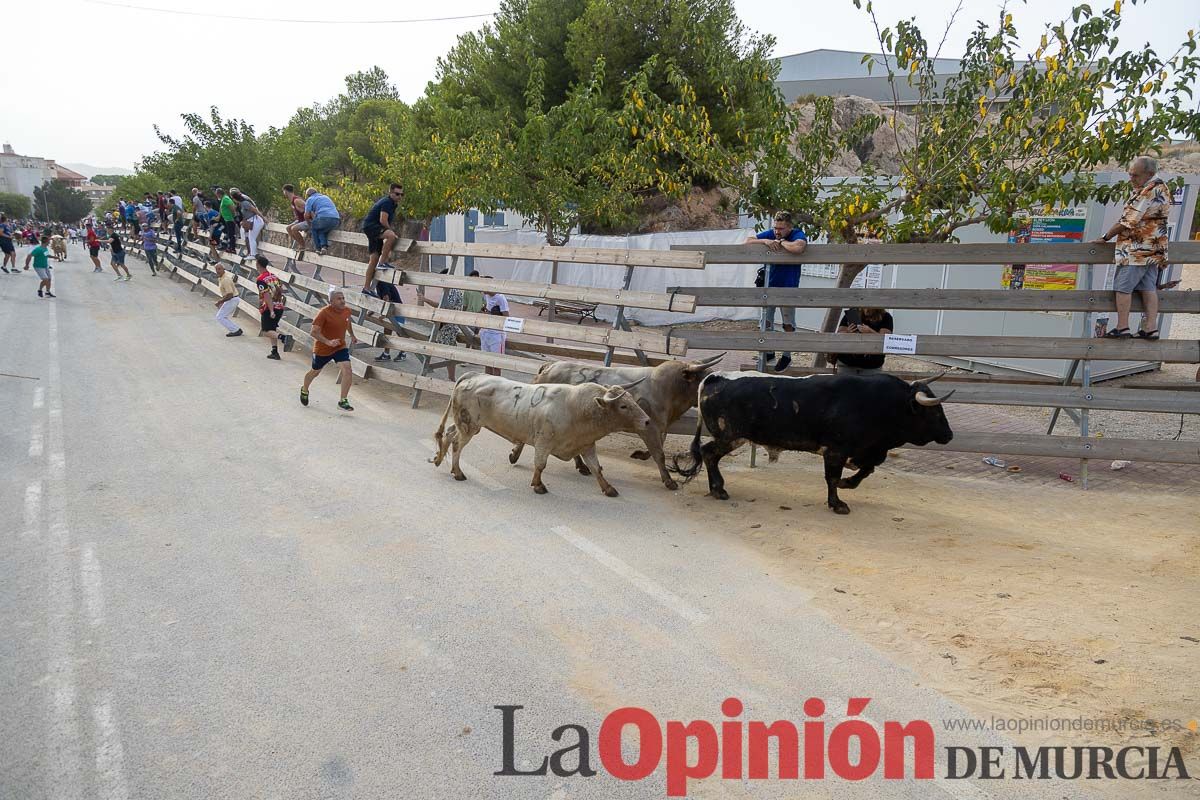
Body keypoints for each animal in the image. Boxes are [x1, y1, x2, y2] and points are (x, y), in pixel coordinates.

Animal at [436, 374, 652, 494]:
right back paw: (457, 472)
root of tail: (472, 376)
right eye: (623, 406)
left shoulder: (587, 444)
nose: (647, 421)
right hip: (469, 426)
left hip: (464, 424)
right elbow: (540, 464)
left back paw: (439, 459)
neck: (578, 408)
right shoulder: (544, 442)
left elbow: (596, 468)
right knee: (457, 444)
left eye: (633, 400)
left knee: (449, 434)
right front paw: (538, 485)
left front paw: (608, 488)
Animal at [506, 355, 720, 489]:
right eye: (704, 378)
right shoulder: (650, 427)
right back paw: (515, 455)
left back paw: (581, 466)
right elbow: (658, 454)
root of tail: (549, 365)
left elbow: (656, 449)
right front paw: (668, 481)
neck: (665, 388)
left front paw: (640, 455)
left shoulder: (658, 427)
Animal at [676, 374, 955, 515]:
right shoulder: (835, 451)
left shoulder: (866, 451)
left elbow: (867, 469)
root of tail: (715, 378)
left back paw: (717, 488)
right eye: (934, 412)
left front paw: (848, 484)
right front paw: (838, 503)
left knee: (709, 455)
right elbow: (832, 477)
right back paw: (718, 489)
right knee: (709, 453)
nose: (949, 435)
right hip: (731, 436)